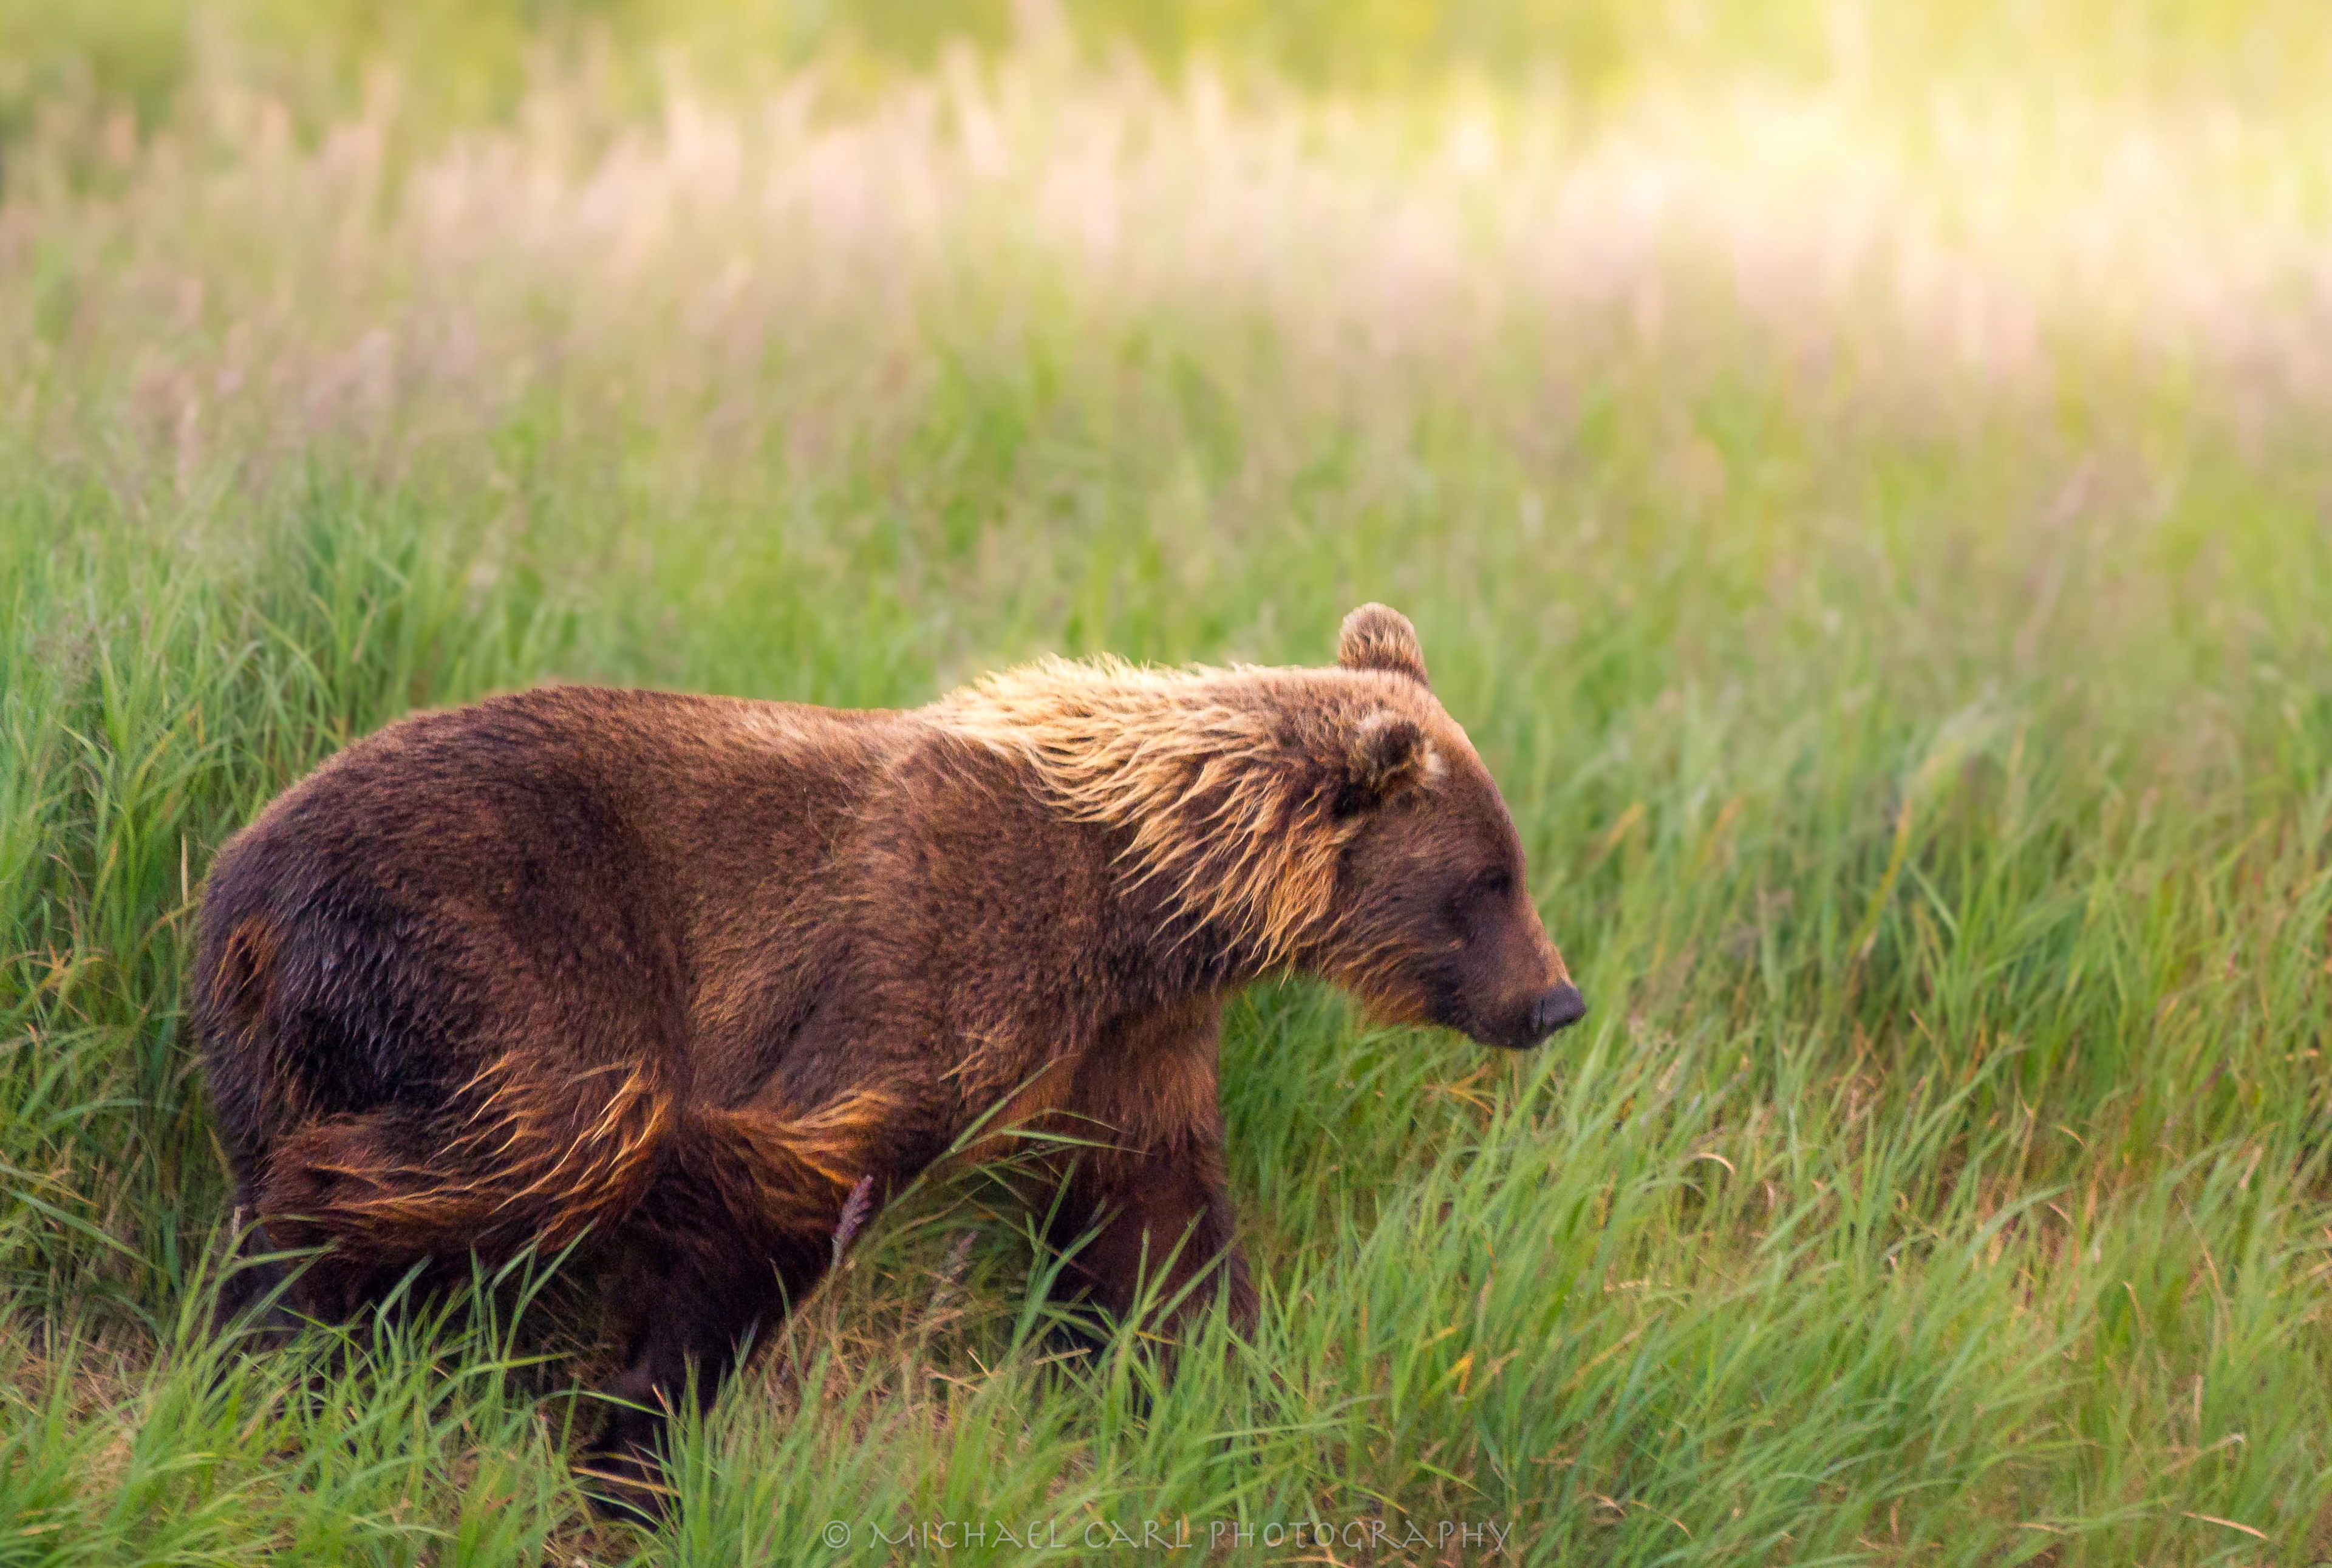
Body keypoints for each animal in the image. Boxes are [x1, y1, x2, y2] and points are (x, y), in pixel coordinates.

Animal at [191, 602, 1584, 1515]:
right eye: (1489, 880)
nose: (1557, 999)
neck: (1142, 906)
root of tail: (239, 883)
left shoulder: (1128, 1046)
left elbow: (1159, 1223)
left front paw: (1214, 1393)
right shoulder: (926, 956)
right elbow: (786, 1176)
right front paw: (641, 1441)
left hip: (294, 1023)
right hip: (499, 923)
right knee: (551, 1125)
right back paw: (280, 1313)